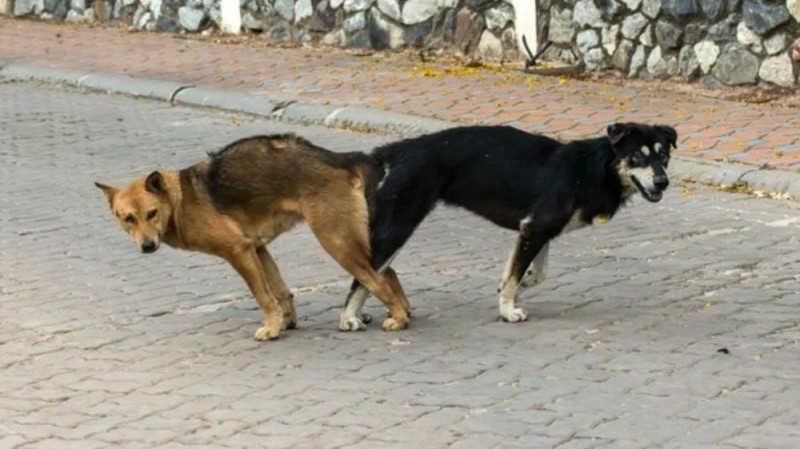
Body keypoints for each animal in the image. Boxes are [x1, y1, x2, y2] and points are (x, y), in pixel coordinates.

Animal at [96, 134, 410, 340]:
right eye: (128, 219)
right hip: (351, 240)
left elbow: (263, 296)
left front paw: (271, 329)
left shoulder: (239, 252)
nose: (147, 246)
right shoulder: (257, 249)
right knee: (389, 272)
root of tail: (342, 158)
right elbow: (281, 291)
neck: (181, 200)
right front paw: (286, 323)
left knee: (378, 278)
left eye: (151, 214)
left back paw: (399, 318)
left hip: (337, 242)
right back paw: (402, 309)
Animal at [338, 122, 676, 328]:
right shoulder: (536, 228)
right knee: (365, 271)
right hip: (399, 224)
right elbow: (517, 275)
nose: (663, 182)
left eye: (663, 156)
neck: (594, 169)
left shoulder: (539, 231)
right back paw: (348, 318)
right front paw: (508, 309)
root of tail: (397, 149)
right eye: (637, 156)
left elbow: (533, 274)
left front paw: (510, 290)